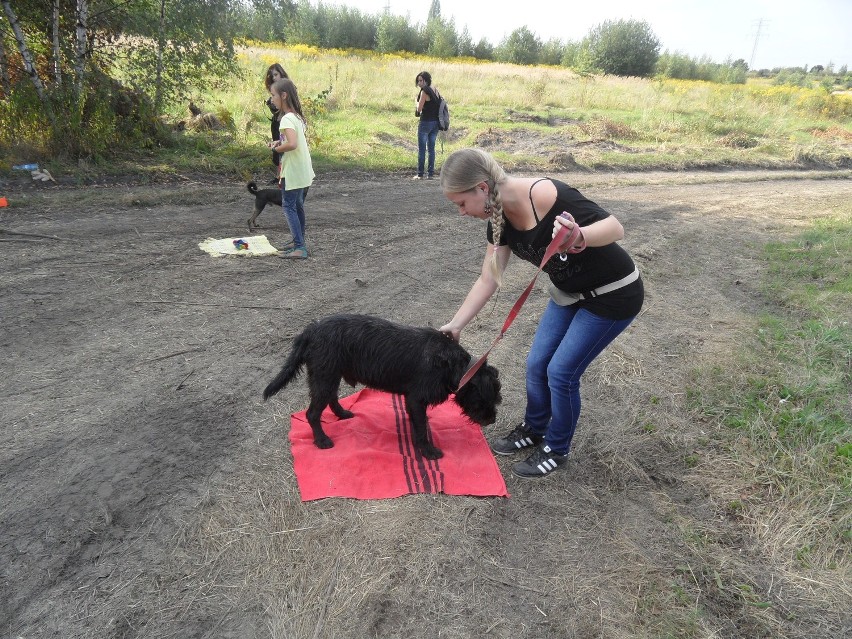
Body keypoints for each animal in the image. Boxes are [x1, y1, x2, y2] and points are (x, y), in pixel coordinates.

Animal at [262, 316, 500, 460]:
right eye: (486, 399)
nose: (492, 420)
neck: (451, 364)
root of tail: (311, 330)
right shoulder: (416, 399)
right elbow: (421, 429)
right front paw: (428, 451)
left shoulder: (413, 401)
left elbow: (418, 423)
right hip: (325, 377)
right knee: (312, 413)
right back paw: (321, 440)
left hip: (329, 376)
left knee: (331, 398)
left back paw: (341, 414)